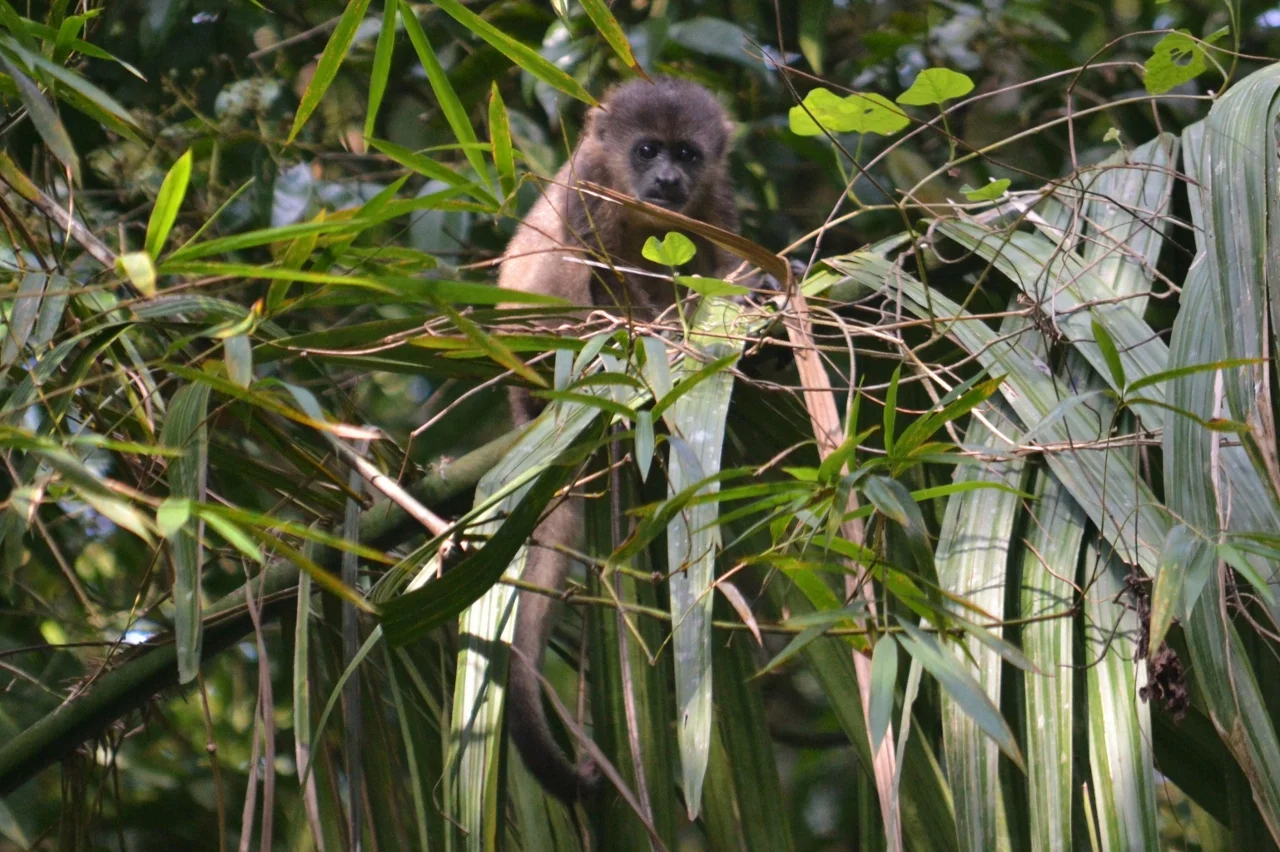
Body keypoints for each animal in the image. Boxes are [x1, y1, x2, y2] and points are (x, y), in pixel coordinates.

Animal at [496, 76, 747, 798]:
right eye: (646, 150)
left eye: (686, 154)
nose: (666, 179)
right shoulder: (588, 183)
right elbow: (596, 266)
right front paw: (663, 335)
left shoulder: (715, 196)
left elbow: (721, 262)